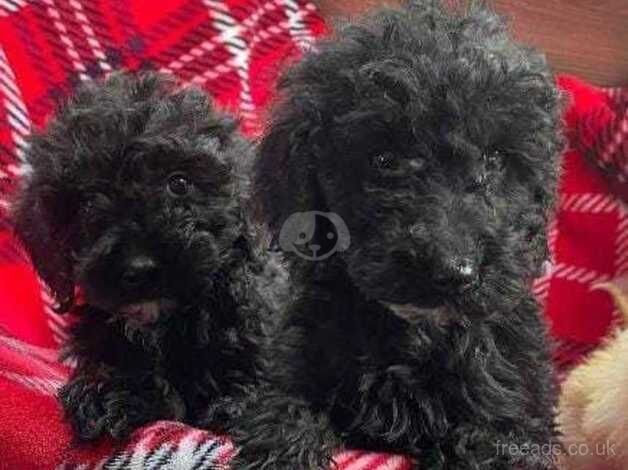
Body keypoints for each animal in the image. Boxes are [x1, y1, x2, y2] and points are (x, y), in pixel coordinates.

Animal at [228, 1, 560, 468]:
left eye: (493, 160)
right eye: (384, 160)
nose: (453, 271)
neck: (415, 333)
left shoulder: (512, 413)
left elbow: (494, 446)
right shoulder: (291, 369)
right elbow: (283, 413)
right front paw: (283, 450)